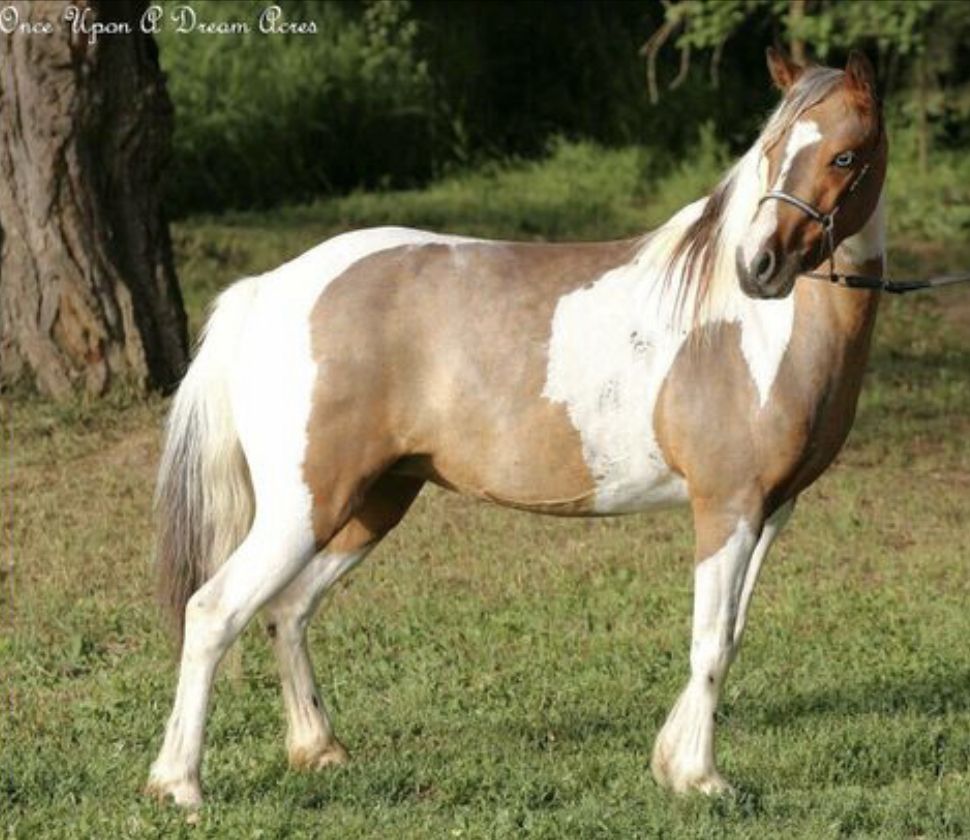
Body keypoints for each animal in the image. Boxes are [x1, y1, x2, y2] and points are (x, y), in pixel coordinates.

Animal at [146, 48, 888, 807]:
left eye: (846, 155)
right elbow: (709, 641)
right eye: (771, 151)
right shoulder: (726, 507)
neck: (754, 334)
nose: (759, 268)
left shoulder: (771, 510)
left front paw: (670, 762)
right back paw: (179, 786)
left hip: (370, 504)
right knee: (213, 612)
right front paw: (701, 776)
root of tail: (267, 289)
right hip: (303, 509)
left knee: (288, 610)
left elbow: (731, 634)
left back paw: (318, 749)